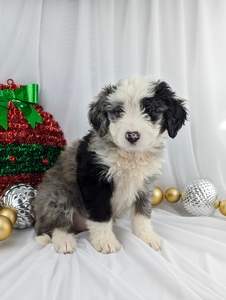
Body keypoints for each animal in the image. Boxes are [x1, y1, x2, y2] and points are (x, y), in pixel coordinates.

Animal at [31, 74, 187, 253]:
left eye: (149, 110)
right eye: (119, 112)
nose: (132, 135)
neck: (131, 155)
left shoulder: (145, 185)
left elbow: (142, 213)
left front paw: (146, 237)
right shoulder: (94, 179)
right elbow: (100, 214)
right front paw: (105, 241)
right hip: (56, 194)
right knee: (56, 225)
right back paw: (64, 240)